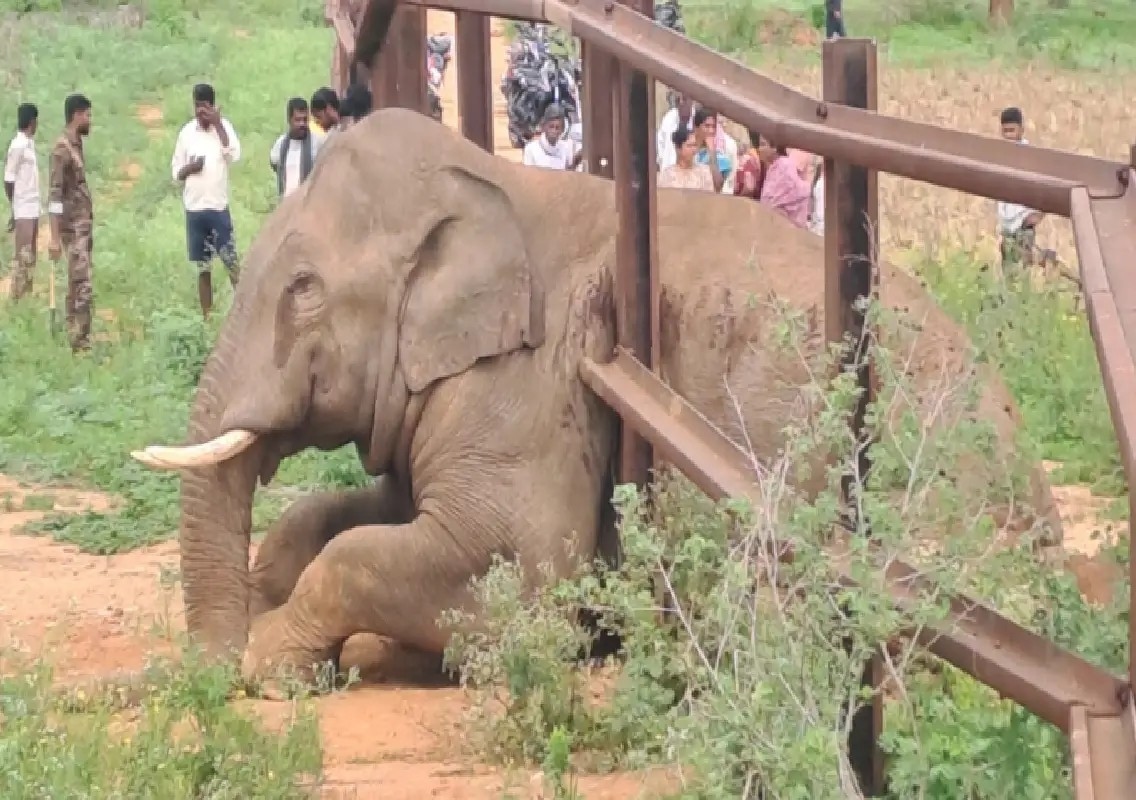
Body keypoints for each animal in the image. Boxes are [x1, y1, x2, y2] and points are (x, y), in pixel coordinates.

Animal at [131, 106, 1062, 685]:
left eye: (303, 292)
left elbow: (509, 566)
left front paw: (269, 666)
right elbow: (347, 516)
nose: (207, 671)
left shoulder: (534, 377)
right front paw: (267, 607)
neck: (494, 184)